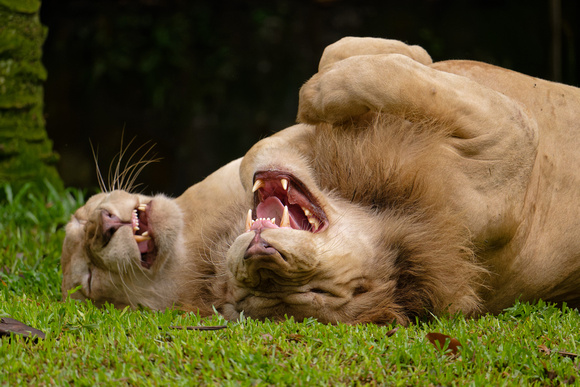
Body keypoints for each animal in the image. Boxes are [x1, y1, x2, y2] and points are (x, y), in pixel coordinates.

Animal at [220, 38, 580, 326]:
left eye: (318, 289)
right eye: (249, 293)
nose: (261, 254)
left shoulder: (510, 131)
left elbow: (367, 63)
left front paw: (313, 96)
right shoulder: (509, 131)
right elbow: (376, 69)